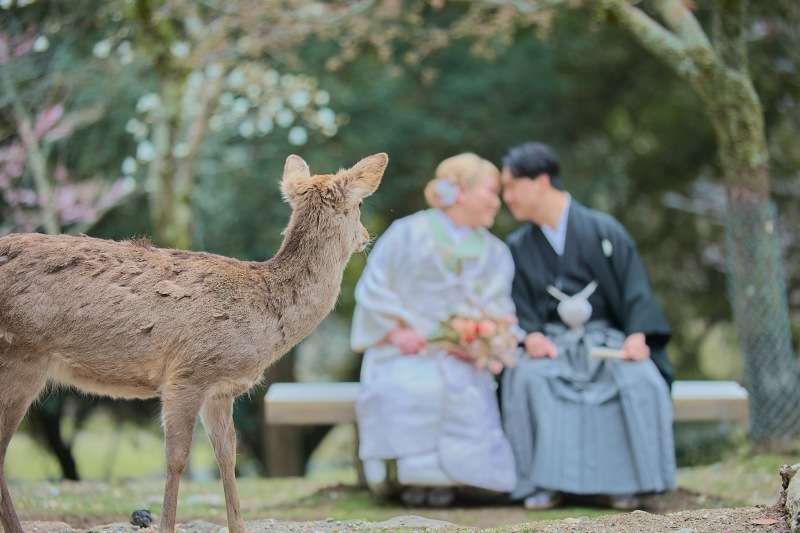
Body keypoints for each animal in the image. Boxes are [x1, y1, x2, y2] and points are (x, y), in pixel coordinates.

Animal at [0, 152, 387, 533]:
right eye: (360, 204)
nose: (367, 235)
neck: (265, 319)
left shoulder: (221, 389)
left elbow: (227, 455)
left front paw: (237, 527)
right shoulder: (188, 373)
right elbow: (177, 458)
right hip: (21, 355)